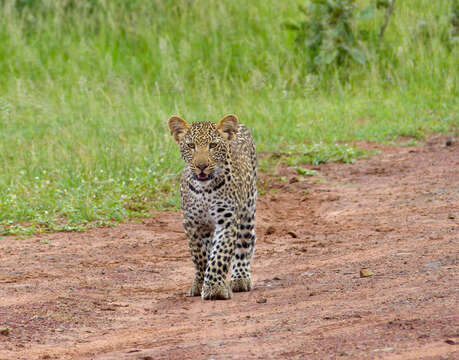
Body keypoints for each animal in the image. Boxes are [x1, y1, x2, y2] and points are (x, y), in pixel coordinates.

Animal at [168, 114, 256, 300]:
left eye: (213, 145)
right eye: (191, 146)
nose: (201, 166)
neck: (204, 190)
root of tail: (240, 125)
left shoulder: (227, 221)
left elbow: (220, 254)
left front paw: (215, 287)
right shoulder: (193, 224)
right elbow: (200, 255)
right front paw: (200, 282)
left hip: (248, 208)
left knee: (246, 242)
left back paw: (240, 278)